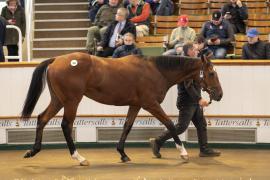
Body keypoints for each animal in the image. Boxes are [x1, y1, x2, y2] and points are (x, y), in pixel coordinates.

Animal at [21, 52, 223, 166]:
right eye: (211, 73)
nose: (219, 94)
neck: (156, 71)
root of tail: (56, 60)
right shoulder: (150, 104)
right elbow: (170, 124)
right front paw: (183, 153)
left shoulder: (135, 104)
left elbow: (127, 126)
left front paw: (123, 154)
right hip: (71, 101)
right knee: (65, 125)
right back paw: (79, 158)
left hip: (58, 101)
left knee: (42, 118)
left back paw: (33, 151)